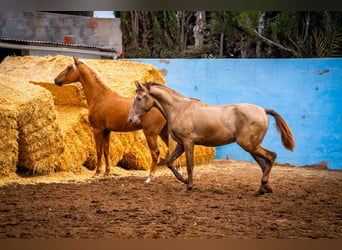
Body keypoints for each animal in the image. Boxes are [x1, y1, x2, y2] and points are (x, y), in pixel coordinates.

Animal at [128, 83, 294, 194]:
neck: (179, 109)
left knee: (271, 157)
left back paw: (265, 186)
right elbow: (170, 162)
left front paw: (189, 186)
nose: (131, 119)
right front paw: (184, 180)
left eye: (139, 98)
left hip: (249, 145)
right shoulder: (181, 144)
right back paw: (262, 189)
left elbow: (190, 165)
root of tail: (263, 110)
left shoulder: (188, 142)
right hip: (251, 146)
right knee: (264, 164)